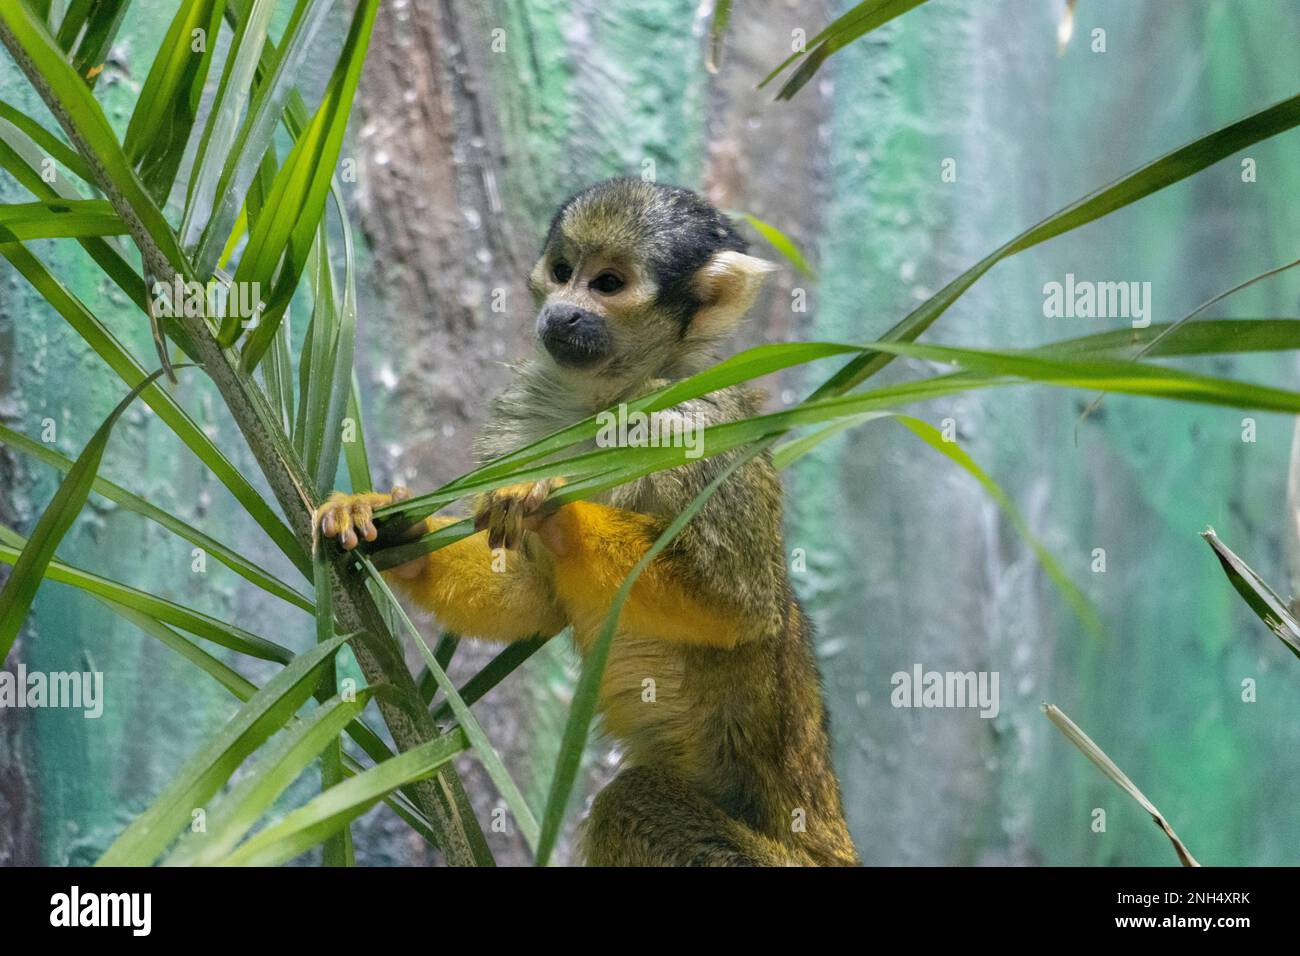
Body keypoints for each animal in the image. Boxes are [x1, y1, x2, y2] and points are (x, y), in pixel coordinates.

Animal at [318, 178, 859, 866]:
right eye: (562, 272)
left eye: (607, 284)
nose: (563, 313)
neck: (613, 396)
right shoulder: (524, 419)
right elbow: (531, 600)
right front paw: (392, 528)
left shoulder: (699, 426)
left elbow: (739, 606)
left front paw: (561, 516)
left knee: (633, 798)